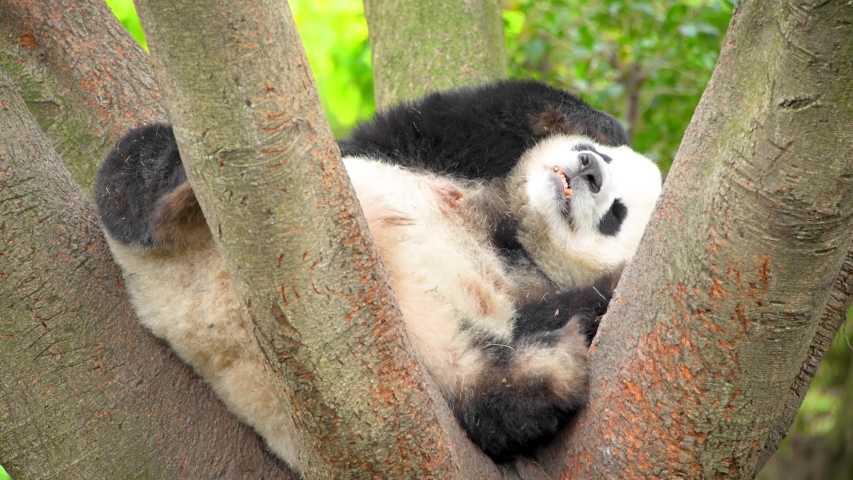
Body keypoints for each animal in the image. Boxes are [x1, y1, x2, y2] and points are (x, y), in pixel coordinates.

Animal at [94, 80, 662, 469]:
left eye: (616, 214)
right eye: (605, 160)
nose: (589, 168)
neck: (513, 227)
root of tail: (203, 314)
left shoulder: (531, 285)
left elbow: (563, 309)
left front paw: (607, 290)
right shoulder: (428, 151)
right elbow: (460, 116)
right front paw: (596, 122)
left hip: (446, 360)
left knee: (493, 401)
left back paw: (551, 369)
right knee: (135, 172)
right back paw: (180, 189)